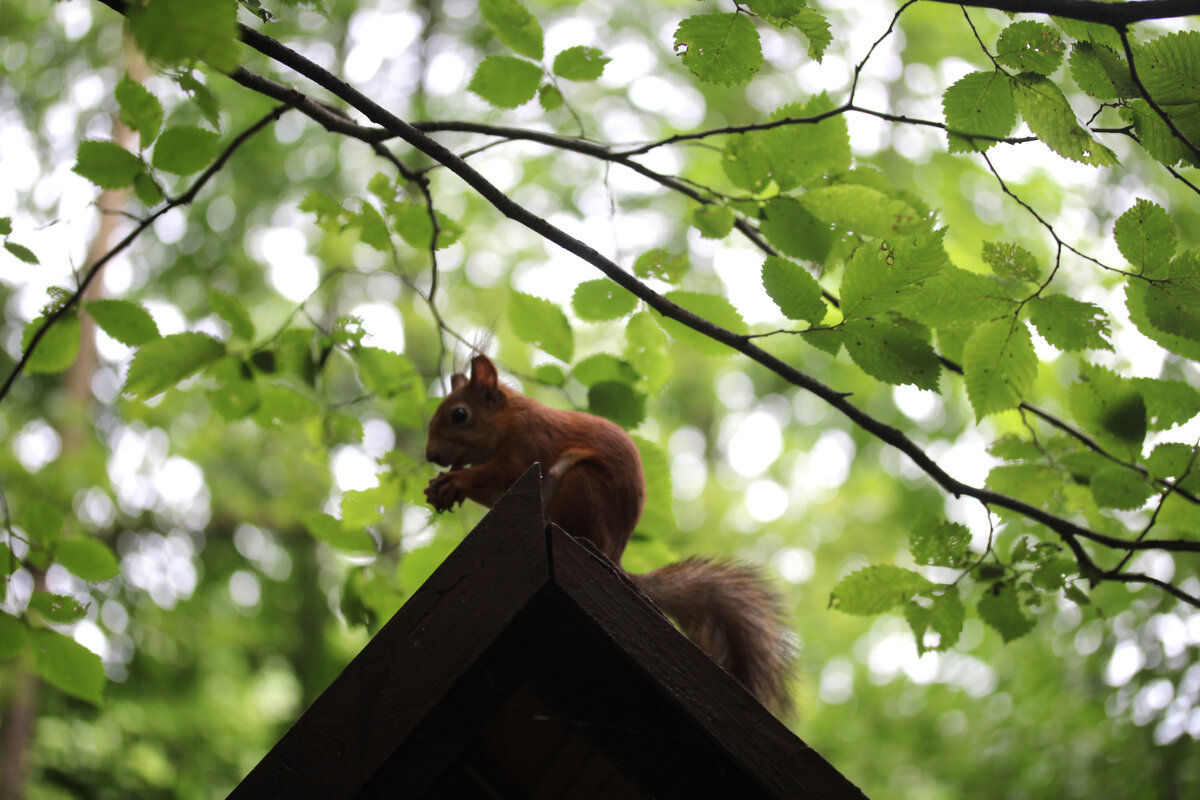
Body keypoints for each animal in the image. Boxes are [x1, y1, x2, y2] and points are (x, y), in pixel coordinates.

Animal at [427, 352, 792, 710]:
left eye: (459, 414)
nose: (431, 455)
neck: (509, 417)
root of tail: (613, 556)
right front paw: (440, 487)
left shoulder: (529, 439)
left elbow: (506, 472)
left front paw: (457, 479)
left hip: (580, 487)